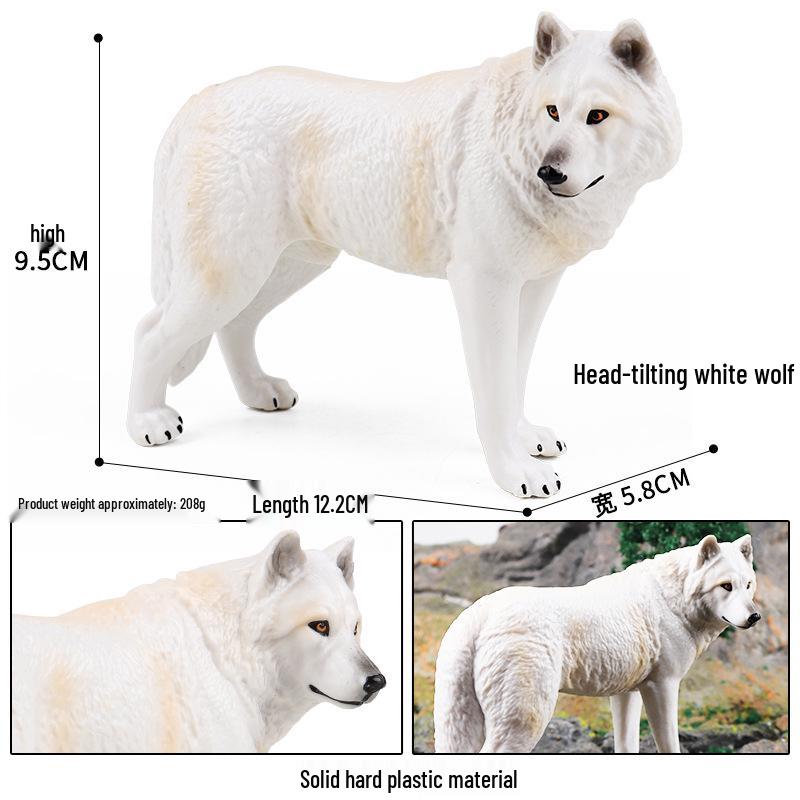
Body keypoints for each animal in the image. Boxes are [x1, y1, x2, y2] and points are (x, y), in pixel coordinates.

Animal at [126, 13, 680, 498]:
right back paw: (146, 424)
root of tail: (202, 97)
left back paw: (260, 393)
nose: (550, 172)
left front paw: (526, 440)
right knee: (151, 332)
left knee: (235, 325)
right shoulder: (484, 285)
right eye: (552, 112)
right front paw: (515, 473)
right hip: (232, 270)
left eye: (597, 115)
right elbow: (494, 387)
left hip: (289, 263)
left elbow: (515, 372)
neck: (515, 139)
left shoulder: (536, 284)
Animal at [433, 534, 759, 753]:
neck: (672, 600)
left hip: (456, 717)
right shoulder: (662, 684)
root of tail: (478, 615)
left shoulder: (629, 691)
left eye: (748, 584)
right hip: (526, 713)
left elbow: (626, 743)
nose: (755, 616)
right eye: (725, 586)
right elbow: (669, 744)